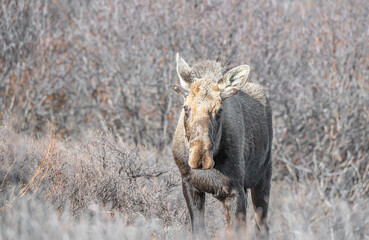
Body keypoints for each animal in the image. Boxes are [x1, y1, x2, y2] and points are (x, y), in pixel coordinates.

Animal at [171, 53, 272, 237]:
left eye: (219, 110)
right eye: (186, 107)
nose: (200, 157)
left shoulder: (236, 191)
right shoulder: (189, 185)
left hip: (263, 178)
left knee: (262, 227)